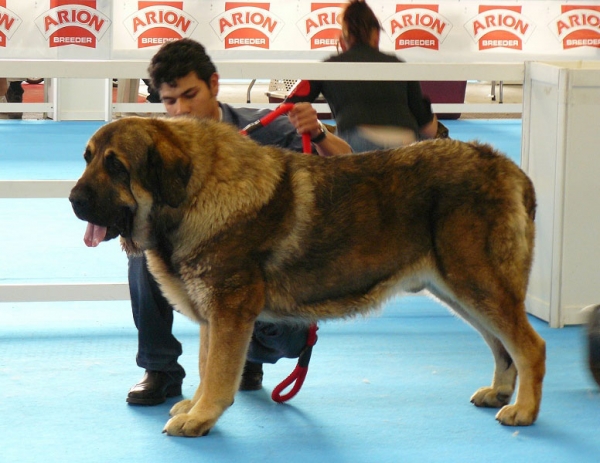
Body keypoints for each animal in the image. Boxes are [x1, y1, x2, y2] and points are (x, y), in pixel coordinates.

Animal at [69, 117, 544, 438]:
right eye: (88, 159)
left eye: (116, 166)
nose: (73, 199)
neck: (192, 194)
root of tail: (509, 168)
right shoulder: (213, 316)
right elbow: (206, 366)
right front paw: (193, 407)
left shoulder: (229, 312)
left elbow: (219, 372)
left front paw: (202, 417)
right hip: (460, 290)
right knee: (503, 348)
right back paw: (499, 393)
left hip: (477, 283)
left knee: (530, 347)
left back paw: (524, 411)